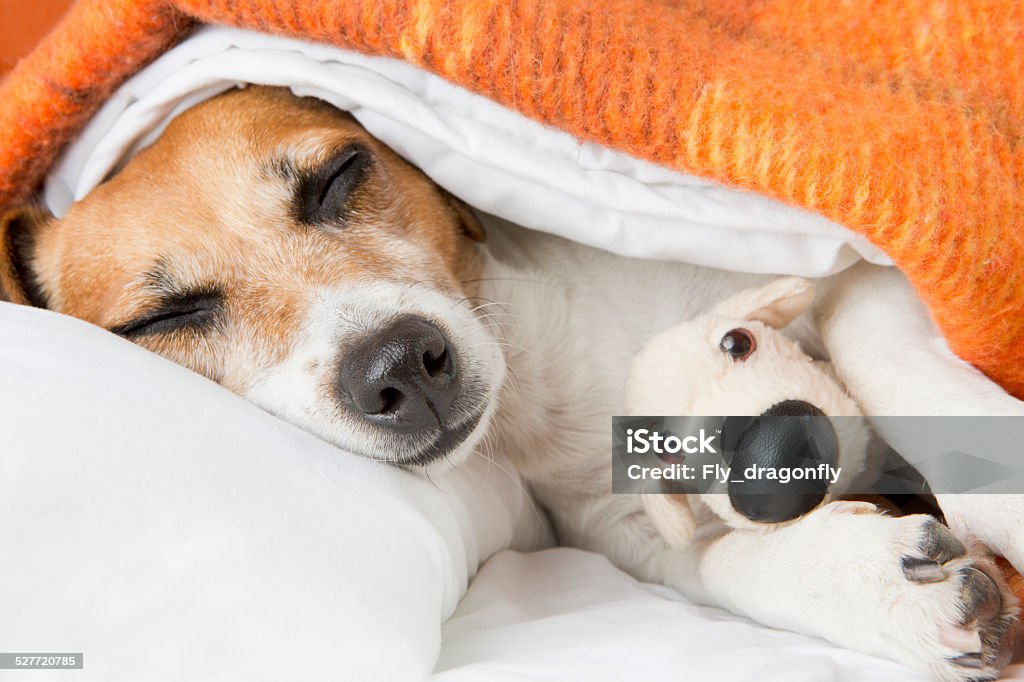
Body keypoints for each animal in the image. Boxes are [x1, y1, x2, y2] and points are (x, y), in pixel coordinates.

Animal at [2, 87, 1024, 675]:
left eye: (340, 175)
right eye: (160, 320)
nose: (399, 366)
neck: (551, 358)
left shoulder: (857, 269)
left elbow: (884, 355)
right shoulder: (622, 526)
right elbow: (722, 563)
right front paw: (877, 583)